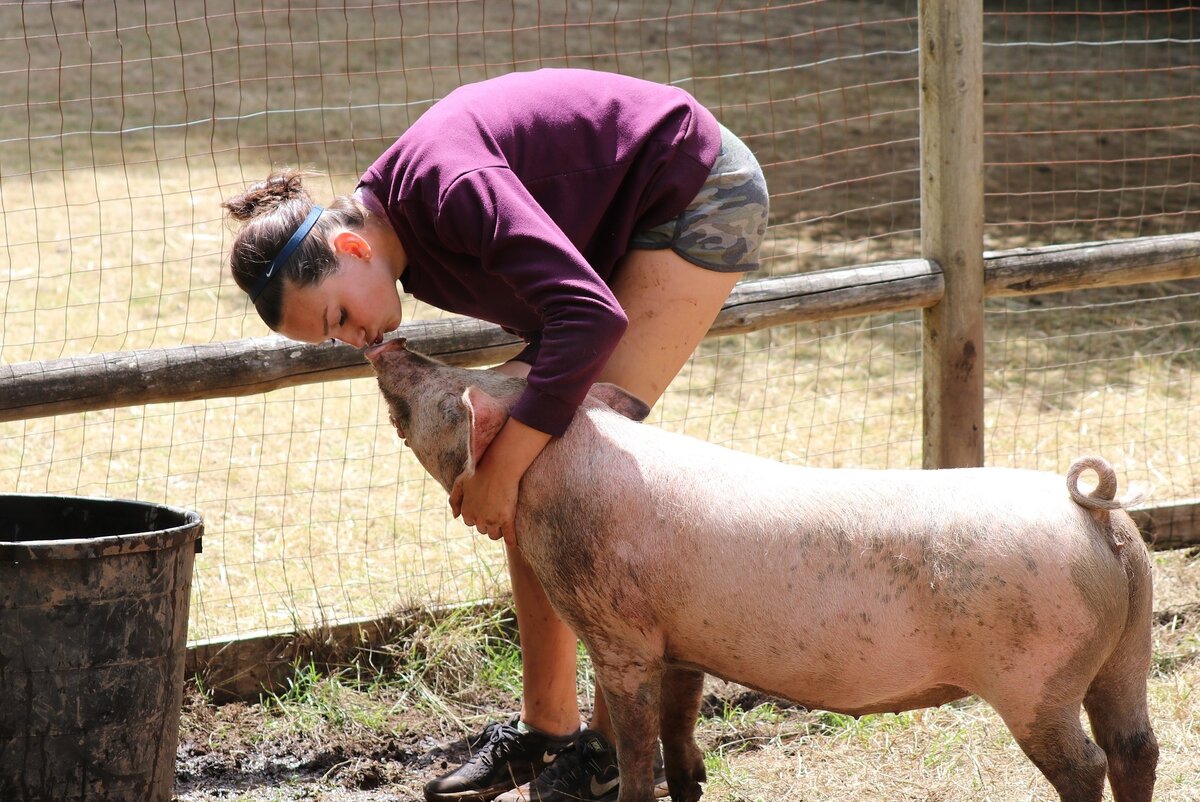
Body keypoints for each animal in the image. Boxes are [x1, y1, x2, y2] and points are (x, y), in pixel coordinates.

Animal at [364, 338, 1152, 802]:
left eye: (451, 396)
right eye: (484, 371)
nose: (393, 342)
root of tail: (1093, 511)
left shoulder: (621, 638)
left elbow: (638, 747)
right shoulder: (682, 645)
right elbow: (682, 746)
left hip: (1036, 677)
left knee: (1085, 764)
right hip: (1126, 649)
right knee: (1135, 747)